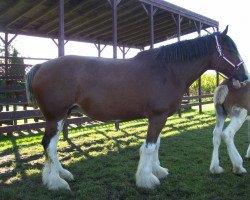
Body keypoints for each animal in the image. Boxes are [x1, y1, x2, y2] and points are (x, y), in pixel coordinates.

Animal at [25, 27, 248, 191]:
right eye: (231, 50)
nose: (245, 77)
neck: (167, 70)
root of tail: (41, 66)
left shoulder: (160, 117)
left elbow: (156, 145)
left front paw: (157, 171)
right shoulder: (157, 117)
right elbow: (149, 147)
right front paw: (146, 180)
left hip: (61, 116)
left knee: (51, 147)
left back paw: (61, 174)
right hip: (55, 117)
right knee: (49, 145)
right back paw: (56, 182)